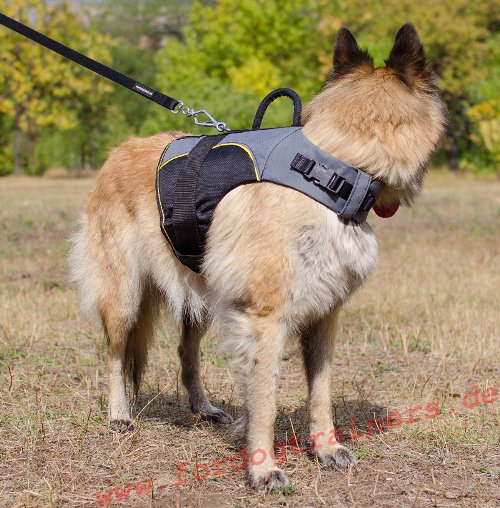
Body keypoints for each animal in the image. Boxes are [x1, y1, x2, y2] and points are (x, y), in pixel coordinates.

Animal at [69, 24, 446, 492]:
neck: (333, 172)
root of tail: (115, 154)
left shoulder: (324, 318)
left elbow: (320, 393)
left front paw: (325, 448)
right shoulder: (267, 321)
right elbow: (264, 400)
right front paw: (263, 468)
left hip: (203, 297)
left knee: (185, 352)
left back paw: (203, 407)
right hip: (124, 298)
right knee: (116, 354)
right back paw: (119, 414)